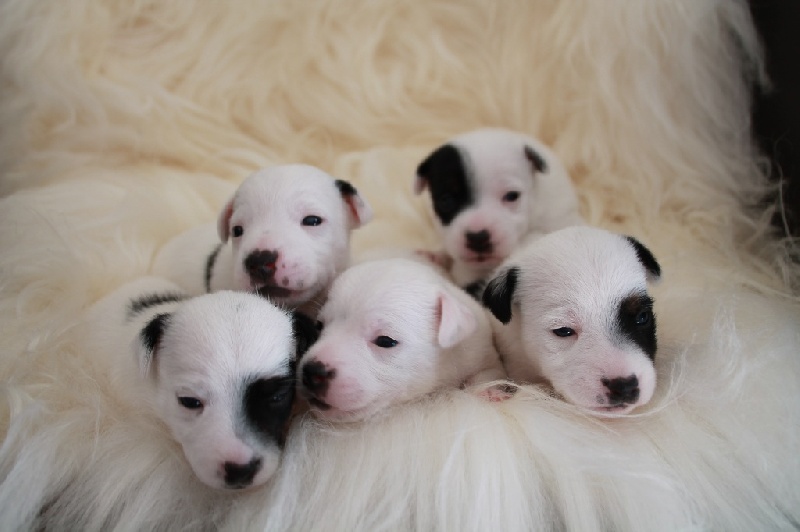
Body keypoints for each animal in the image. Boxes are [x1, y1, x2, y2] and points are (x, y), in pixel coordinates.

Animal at [296, 258, 504, 424]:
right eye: (319, 326)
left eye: (385, 341)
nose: (312, 372)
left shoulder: (479, 350)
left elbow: (489, 371)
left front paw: (489, 391)